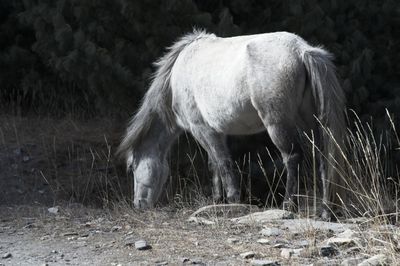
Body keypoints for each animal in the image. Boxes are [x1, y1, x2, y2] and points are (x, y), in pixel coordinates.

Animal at [117, 29, 346, 220]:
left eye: (132, 167)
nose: (138, 204)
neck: (176, 77)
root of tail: (301, 50)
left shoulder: (202, 129)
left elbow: (224, 163)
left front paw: (233, 200)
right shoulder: (216, 132)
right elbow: (215, 164)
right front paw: (217, 199)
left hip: (278, 125)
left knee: (292, 157)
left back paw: (289, 205)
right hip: (313, 124)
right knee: (324, 157)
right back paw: (325, 211)